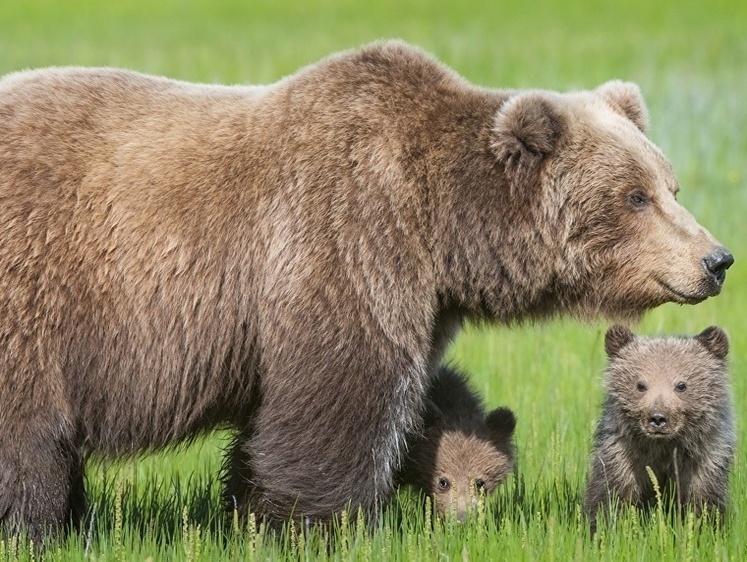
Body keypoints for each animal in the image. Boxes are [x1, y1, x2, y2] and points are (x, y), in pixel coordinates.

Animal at [584, 324, 736, 528]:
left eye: (681, 385)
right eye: (640, 385)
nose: (657, 418)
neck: (663, 447)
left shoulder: (705, 457)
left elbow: (703, 501)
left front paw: (702, 525)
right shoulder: (623, 455)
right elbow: (611, 496)